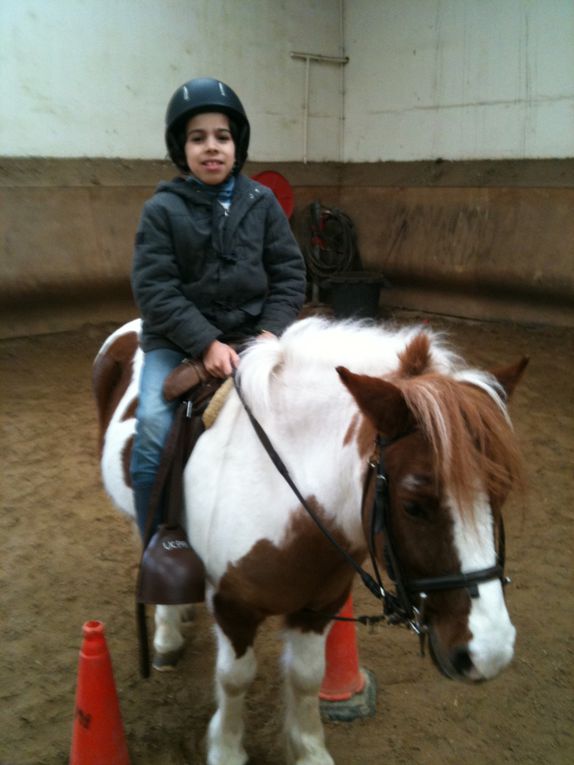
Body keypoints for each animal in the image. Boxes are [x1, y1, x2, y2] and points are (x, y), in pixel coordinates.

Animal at [95, 316, 532, 764]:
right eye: (413, 504)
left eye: (500, 492)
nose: (489, 652)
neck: (282, 494)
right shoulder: (233, 607)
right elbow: (235, 679)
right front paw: (227, 750)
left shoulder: (320, 605)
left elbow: (307, 677)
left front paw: (308, 751)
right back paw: (167, 635)